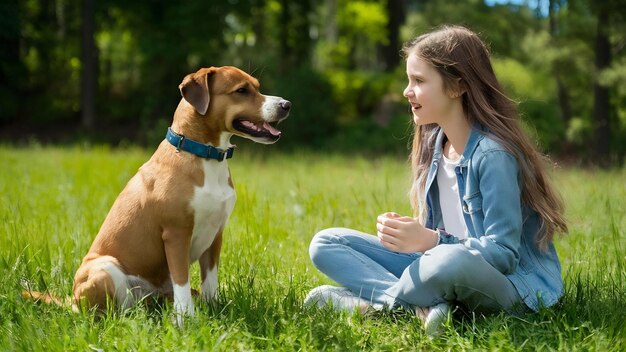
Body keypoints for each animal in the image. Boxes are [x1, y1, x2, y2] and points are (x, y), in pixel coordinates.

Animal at [21, 65, 290, 324]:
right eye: (242, 90)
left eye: (257, 87)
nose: (286, 105)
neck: (205, 156)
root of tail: (72, 300)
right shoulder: (176, 234)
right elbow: (182, 282)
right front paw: (185, 321)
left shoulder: (216, 234)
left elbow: (210, 283)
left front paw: (214, 309)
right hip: (104, 268)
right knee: (110, 312)